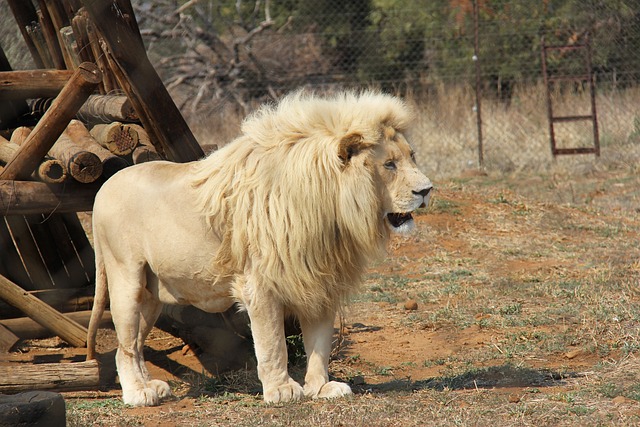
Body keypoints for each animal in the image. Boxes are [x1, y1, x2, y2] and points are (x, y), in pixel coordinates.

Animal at [85, 88, 432, 406]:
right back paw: (138, 394)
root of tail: (103, 188)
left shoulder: (320, 281)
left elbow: (319, 343)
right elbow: (273, 343)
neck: (328, 209)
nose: (427, 190)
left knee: (131, 344)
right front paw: (281, 390)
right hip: (126, 278)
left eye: (413, 156)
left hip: (152, 293)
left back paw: (150, 386)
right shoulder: (261, 284)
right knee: (125, 345)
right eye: (389, 164)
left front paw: (320, 388)